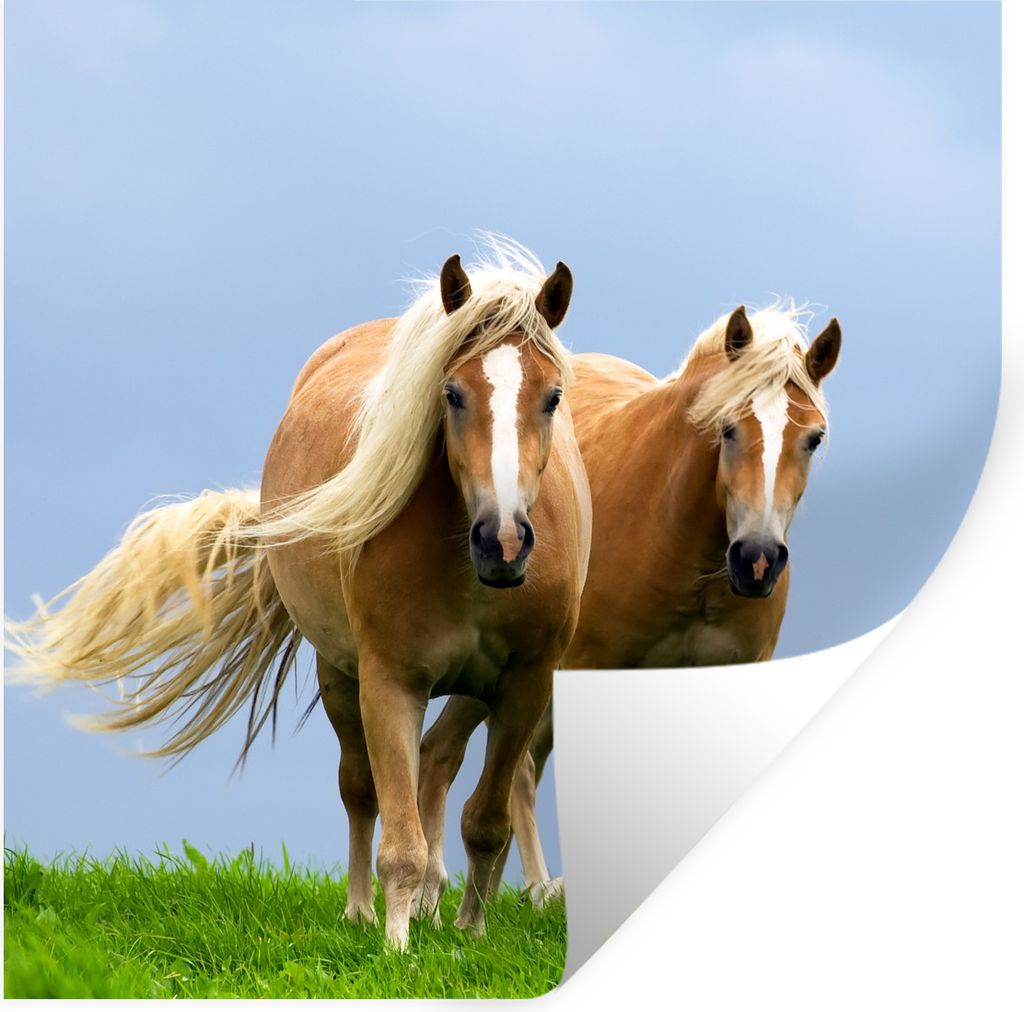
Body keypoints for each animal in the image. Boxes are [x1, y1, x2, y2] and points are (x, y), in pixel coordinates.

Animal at [6, 238, 592, 951]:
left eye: (553, 397)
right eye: (451, 394)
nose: (502, 541)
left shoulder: (525, 685)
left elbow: (486, 823)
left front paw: (471, 934)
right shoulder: (390, 681)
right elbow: (397, 838)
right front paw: (397, 949)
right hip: (339, 674)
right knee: (361, 790)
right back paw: (363, 912)